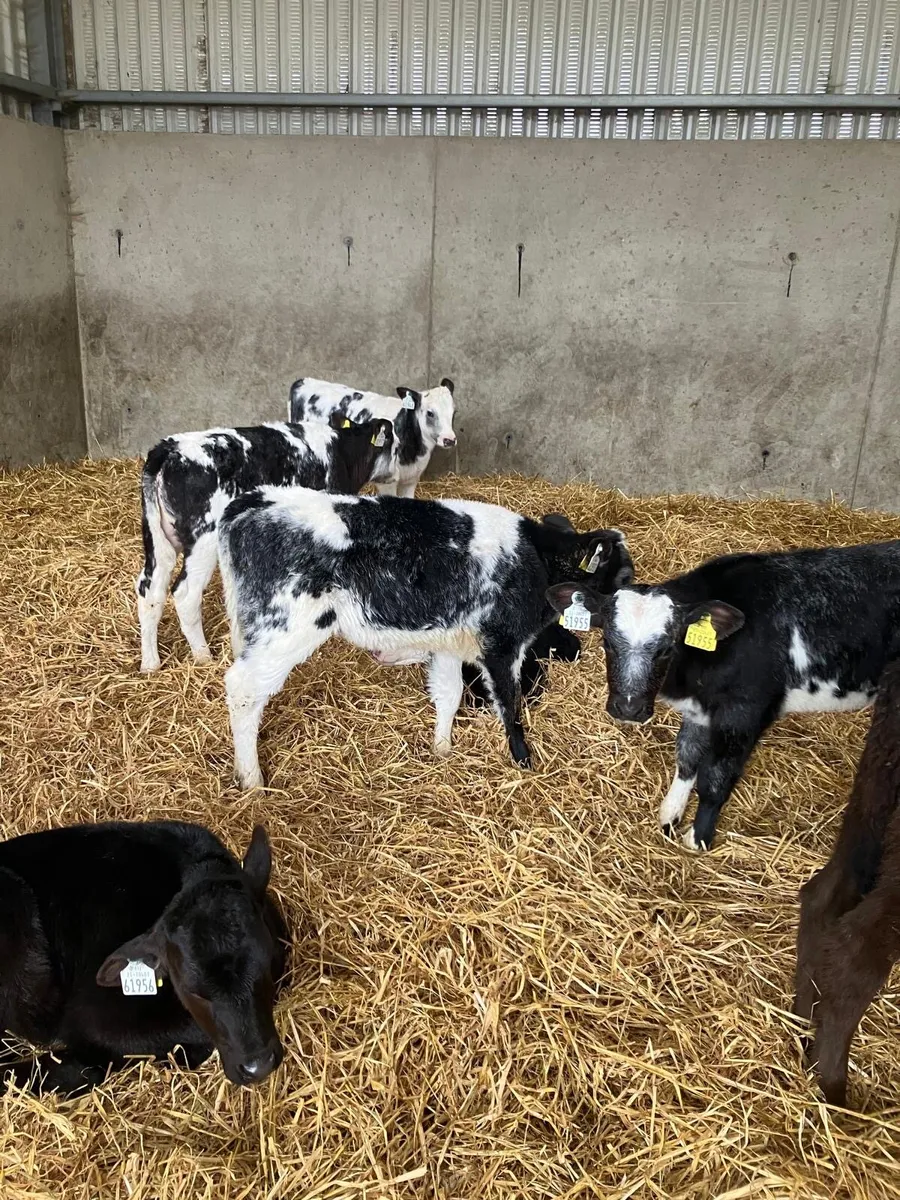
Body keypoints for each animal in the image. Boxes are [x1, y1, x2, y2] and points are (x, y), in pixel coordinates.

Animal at [137, 413, 395, 672]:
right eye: (393, 443)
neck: (343, 451)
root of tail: (169, 448)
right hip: (203, 541)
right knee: (186, 594)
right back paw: (203, 656)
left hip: (158, 539)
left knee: (150, 589)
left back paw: (150, 663)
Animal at [216, 492, 633, 788]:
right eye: (625, 575)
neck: (538, 561)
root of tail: (255, 500)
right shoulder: (503, 644)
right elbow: (510, 706)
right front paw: (523, 760)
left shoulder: (450, 642)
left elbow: (449, 695)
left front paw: (443, 750)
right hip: (286, 629)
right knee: (242, 690)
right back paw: (251, 781)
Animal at [288, 376, 456, 498]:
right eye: (430, 413)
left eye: (454, 412)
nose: (449, 439)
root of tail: (303, 381)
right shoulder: (387, 482)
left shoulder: (411, 480)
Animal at [546, 540, 900, 850]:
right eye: (607, 642)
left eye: (666, 648)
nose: (628, 708)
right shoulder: (698, 711)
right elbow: (687, 757)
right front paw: (670, 815)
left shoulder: (744, 712)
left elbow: (715, 777)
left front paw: (698, 838)